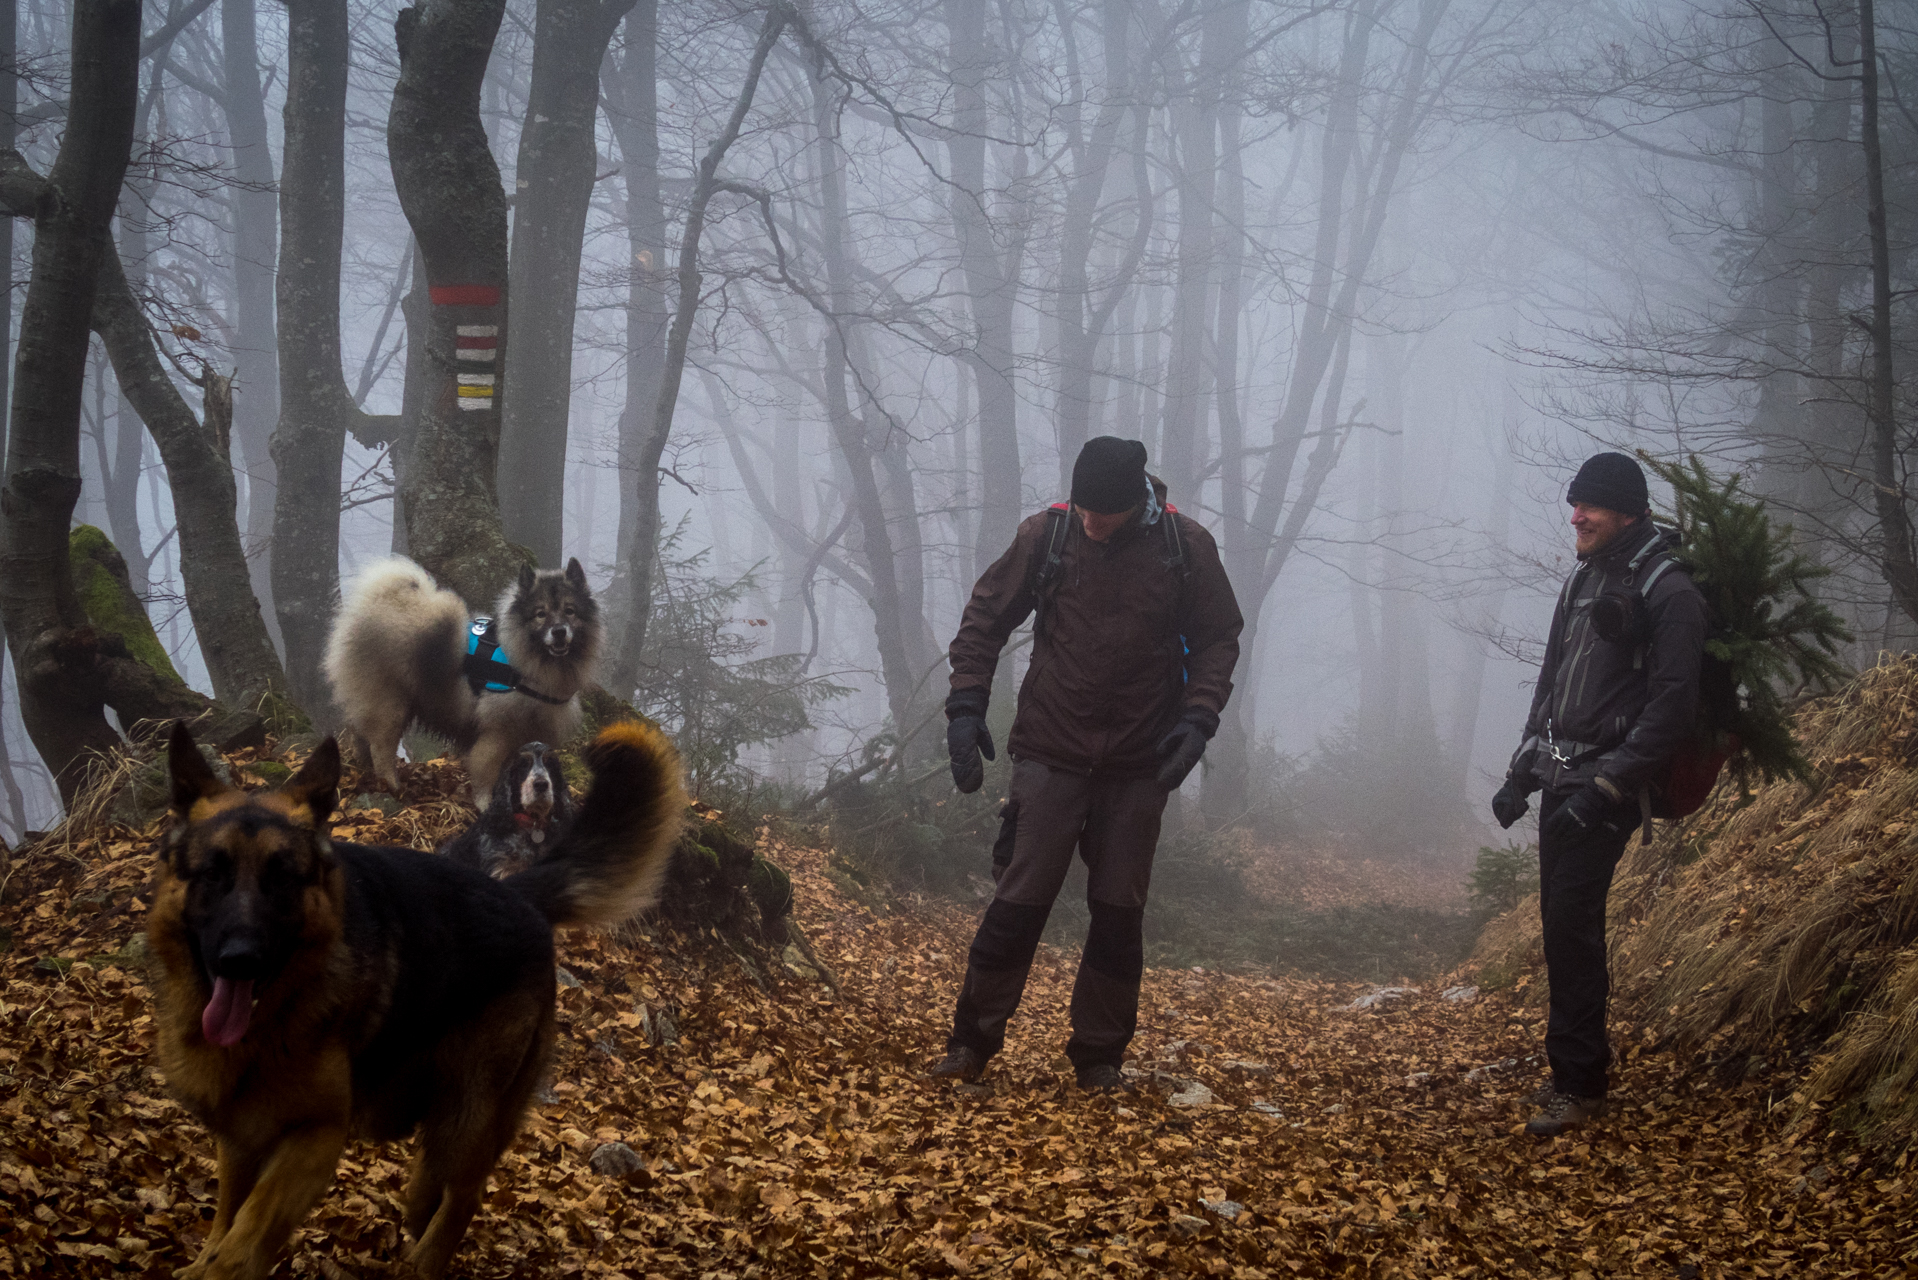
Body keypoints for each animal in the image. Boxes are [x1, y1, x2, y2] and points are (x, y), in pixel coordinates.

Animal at [324, 556, 598, 794]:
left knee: (360, 734)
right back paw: (391, 786)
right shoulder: (496, 735)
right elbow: (486, 774)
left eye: (570, 611)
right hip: (390, 705)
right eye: (540, 614)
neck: (525, 660)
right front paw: (485, 804)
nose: (559, 631)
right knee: (381, 747)